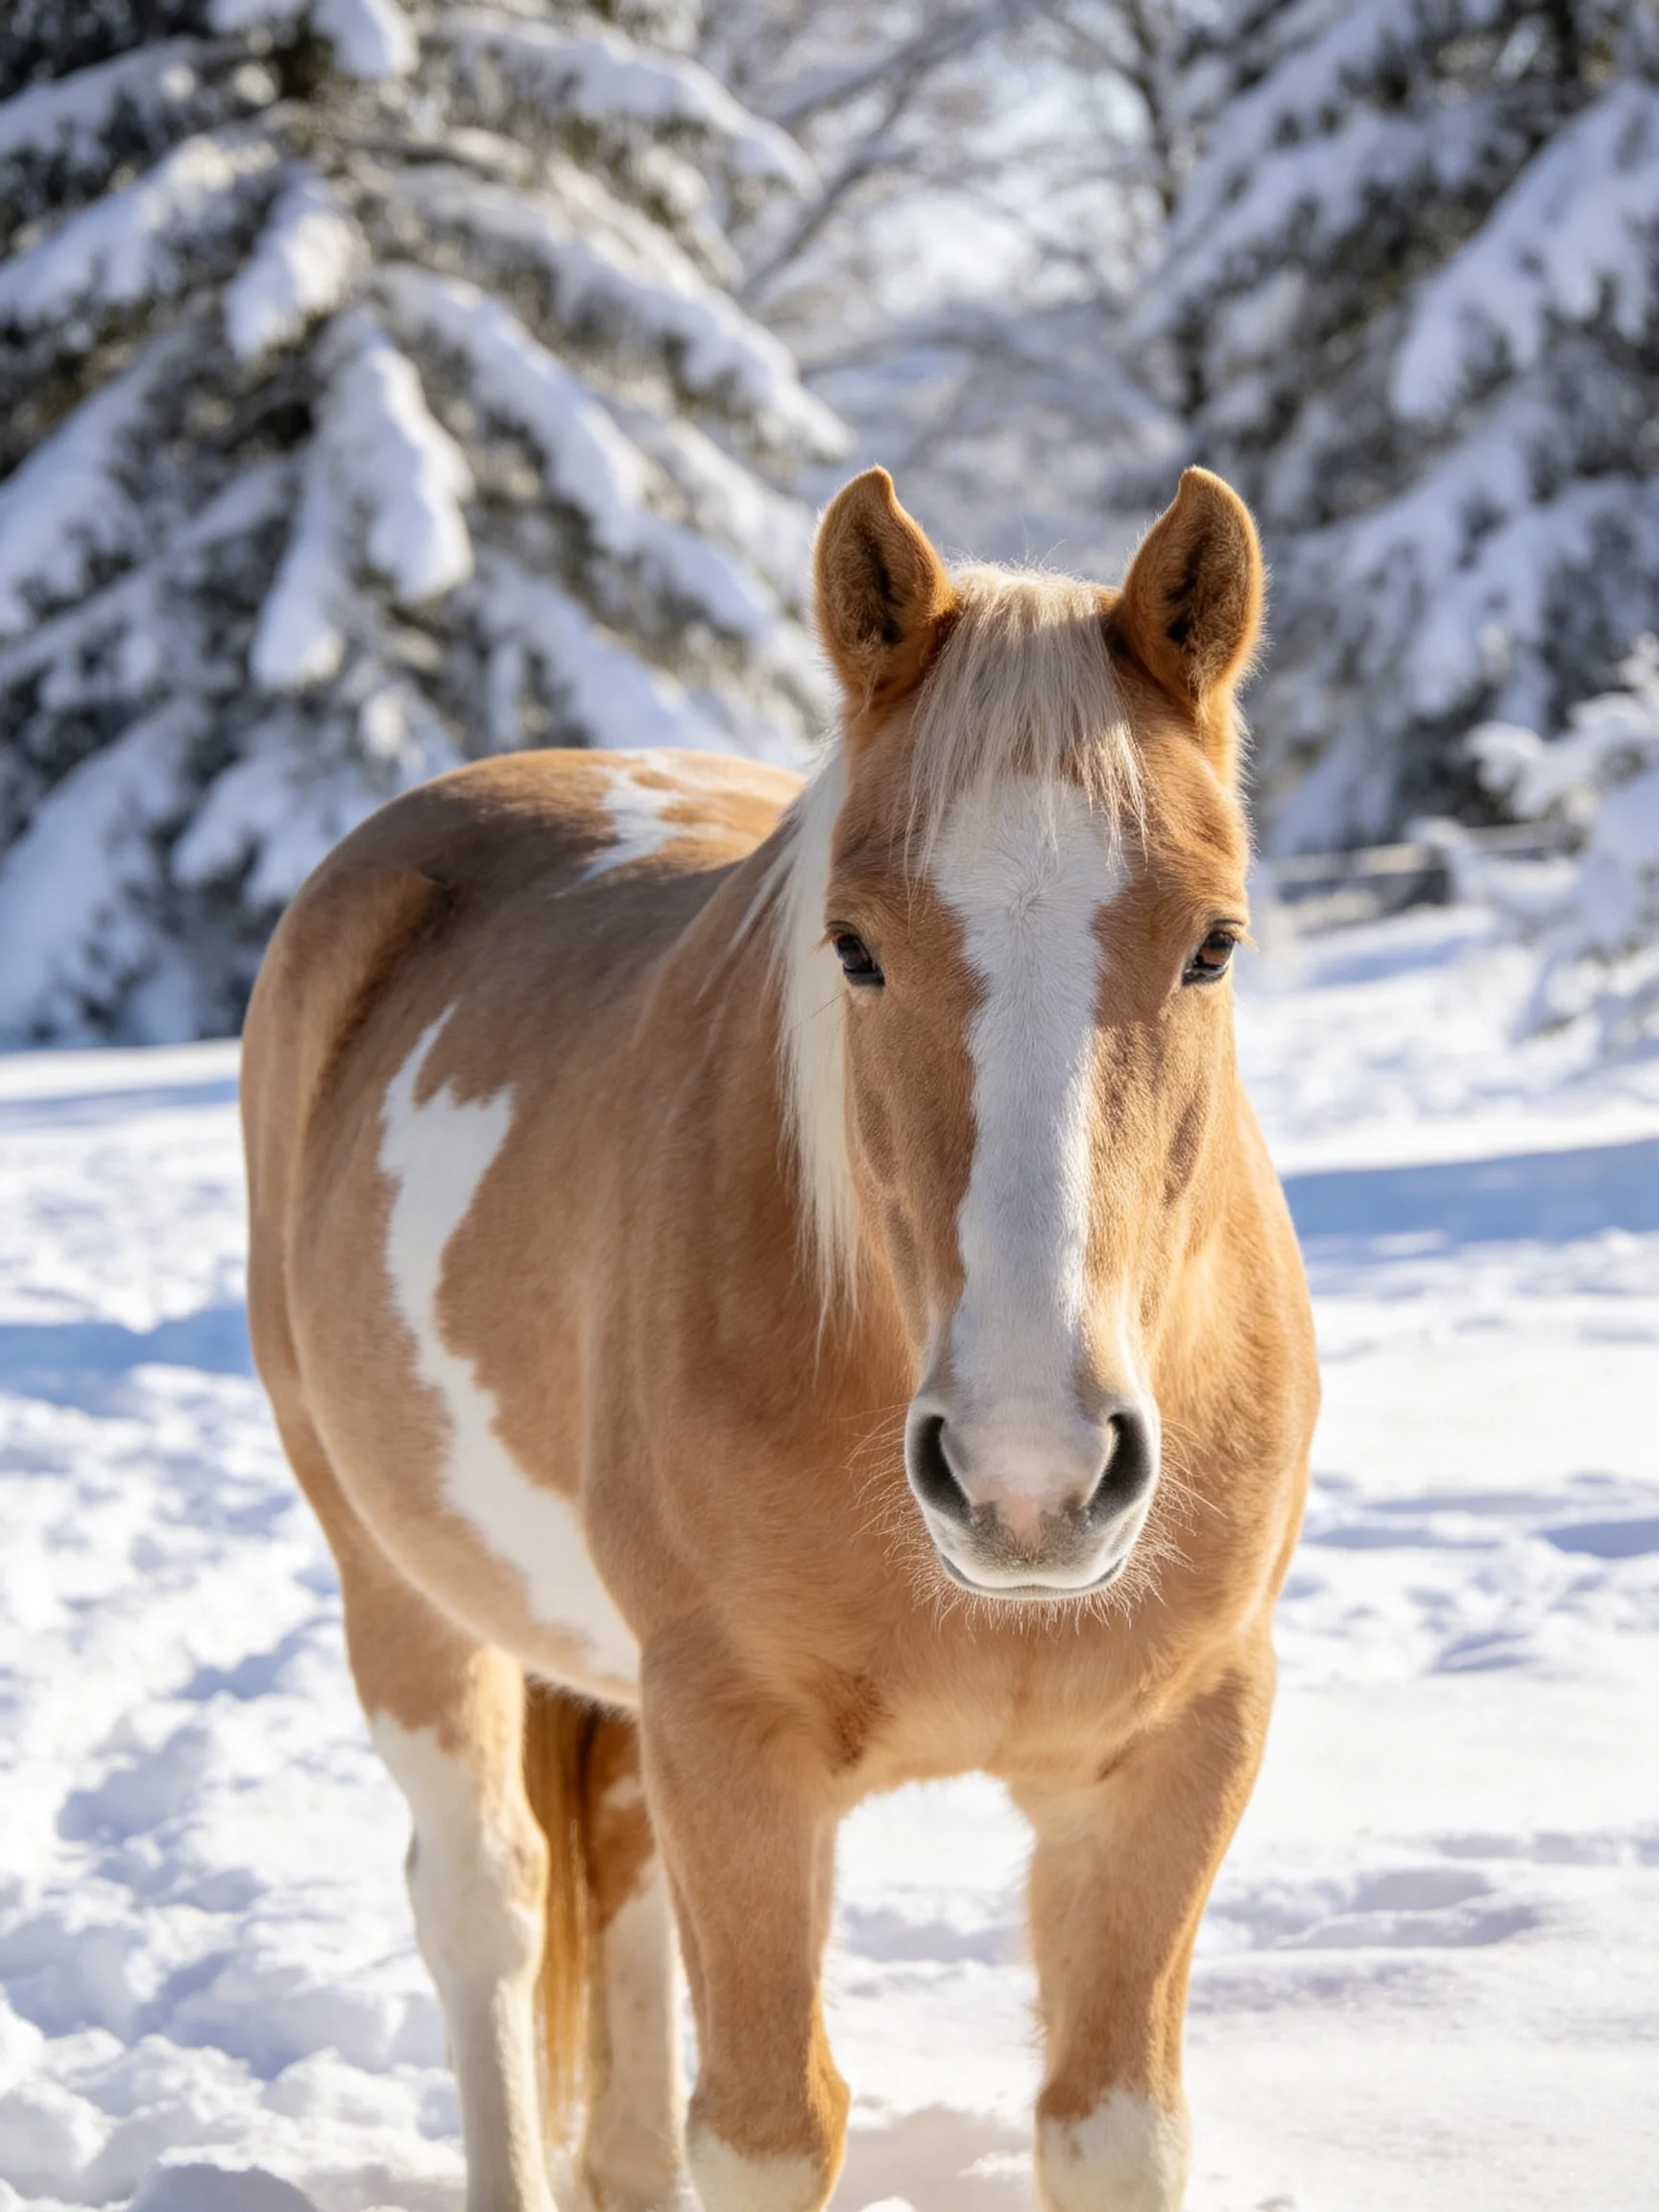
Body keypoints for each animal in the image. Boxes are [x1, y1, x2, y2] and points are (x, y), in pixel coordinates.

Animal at [241, 462, 1319, 2212]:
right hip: (399, 1595)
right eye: (853, 945)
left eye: (1213, 941)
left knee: (608, 1888)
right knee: (486, 1904)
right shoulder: (735, 1753)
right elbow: (762, 2124)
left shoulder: (1171, 1750)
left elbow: (1108, 2126)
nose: (1028, 1474)